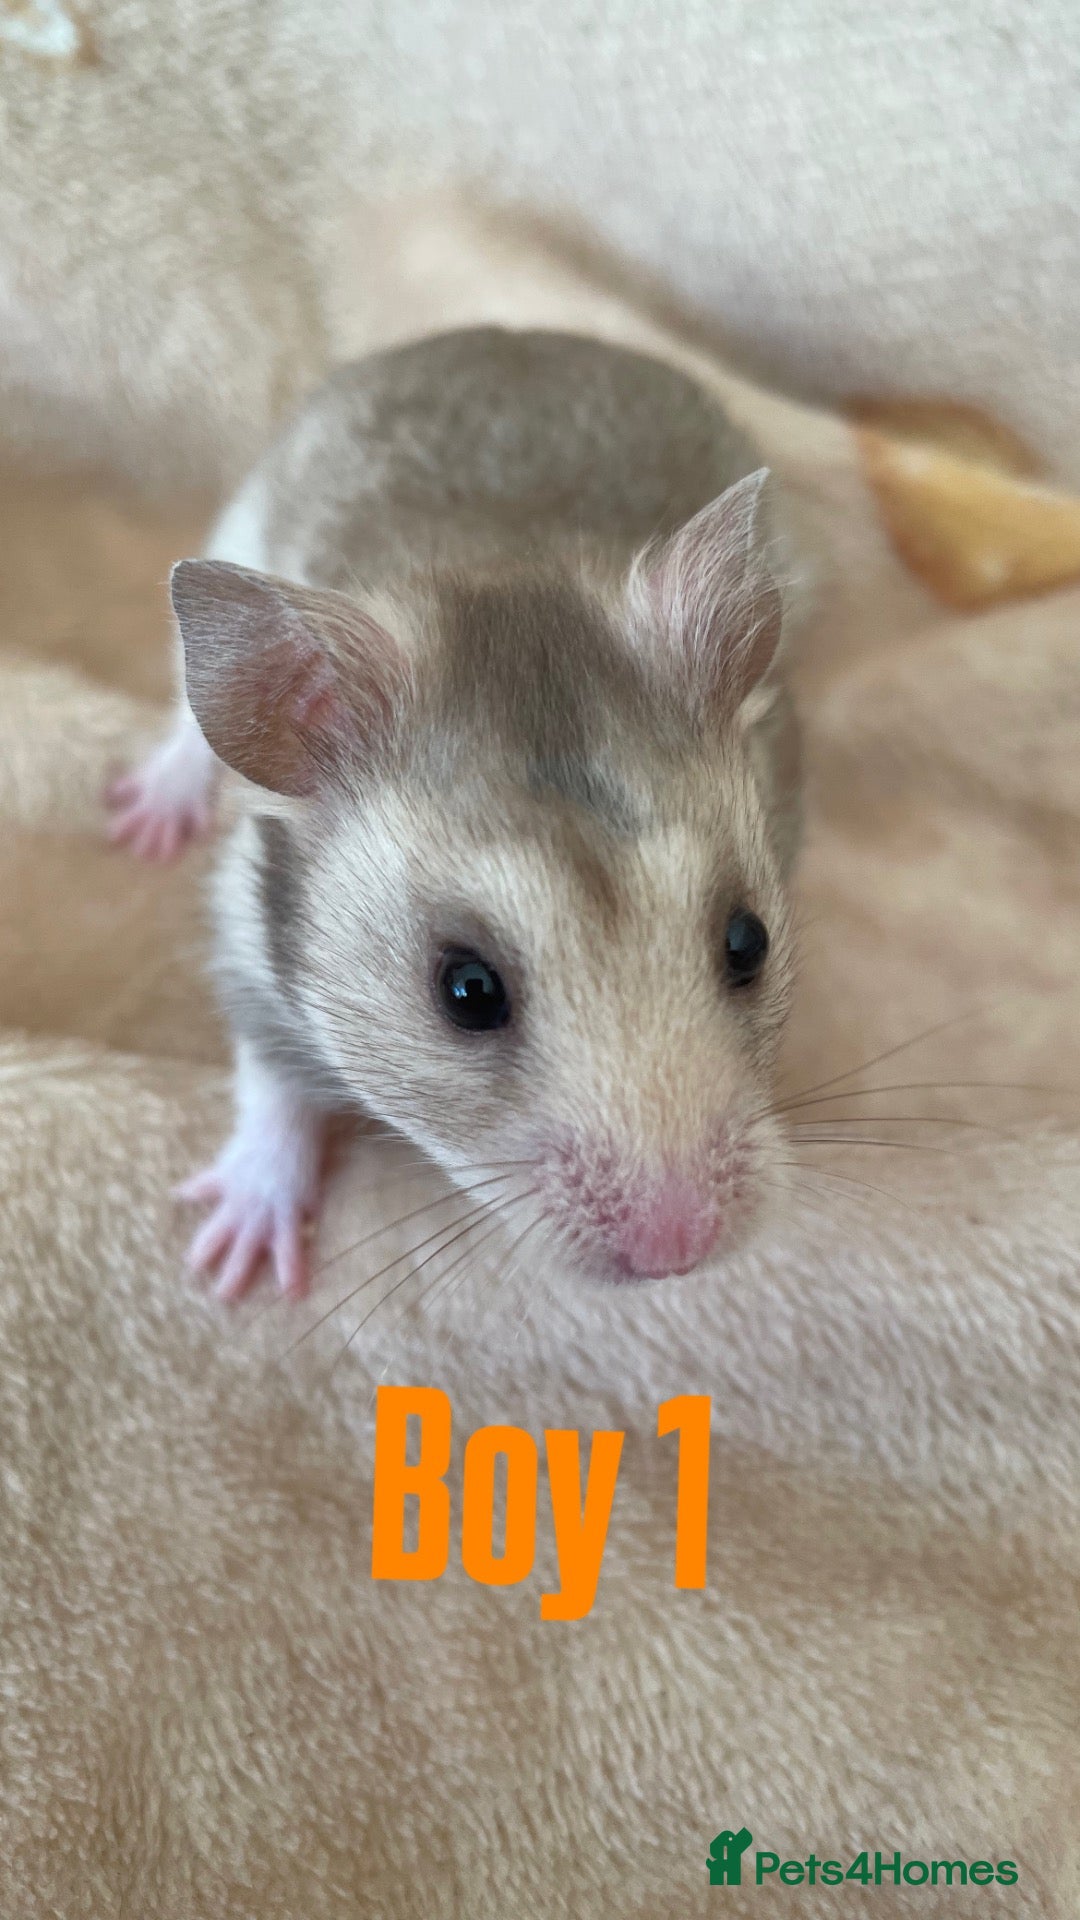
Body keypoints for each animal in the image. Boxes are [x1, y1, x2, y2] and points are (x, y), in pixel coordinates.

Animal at [109, 328, 803, 1301]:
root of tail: (513, 333)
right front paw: (233, 1264)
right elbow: (273, 1082)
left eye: (749, 943)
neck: (501, 556)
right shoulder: (246, 939)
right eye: (466, 992)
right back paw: (150, 814)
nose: (678, 1253)